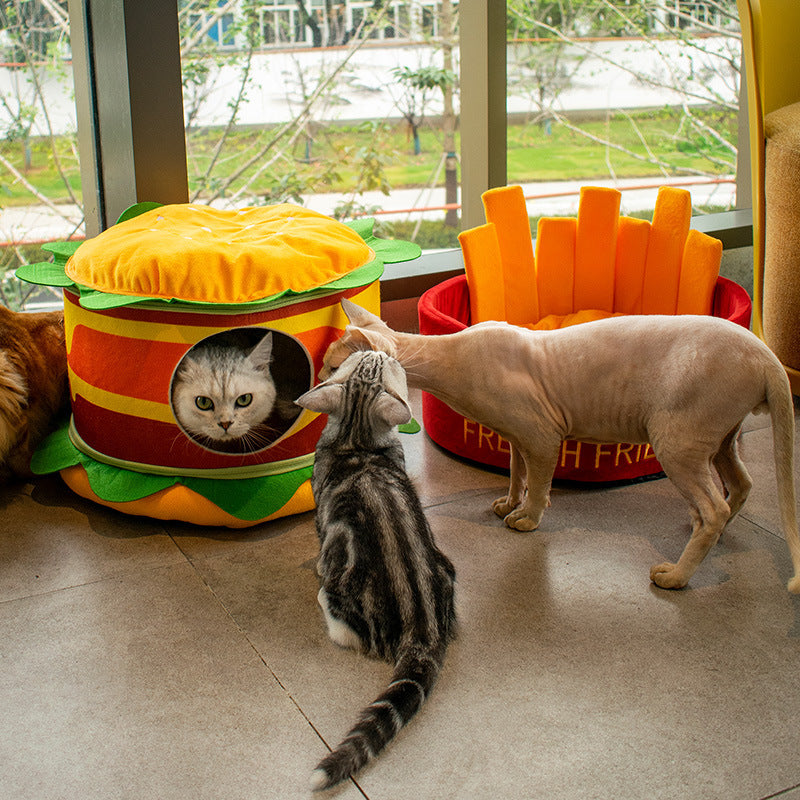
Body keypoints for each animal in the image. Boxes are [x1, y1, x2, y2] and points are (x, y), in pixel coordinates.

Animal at [296, 348, 460, 788]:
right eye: (360, 358)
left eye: (383, 364)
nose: (381, 350)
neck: (356, 441)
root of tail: (424, 628)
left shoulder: (324, 521)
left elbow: (320, 546)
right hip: (447, 566)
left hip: (344, 592)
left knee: (342, 626)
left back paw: (322, 600)